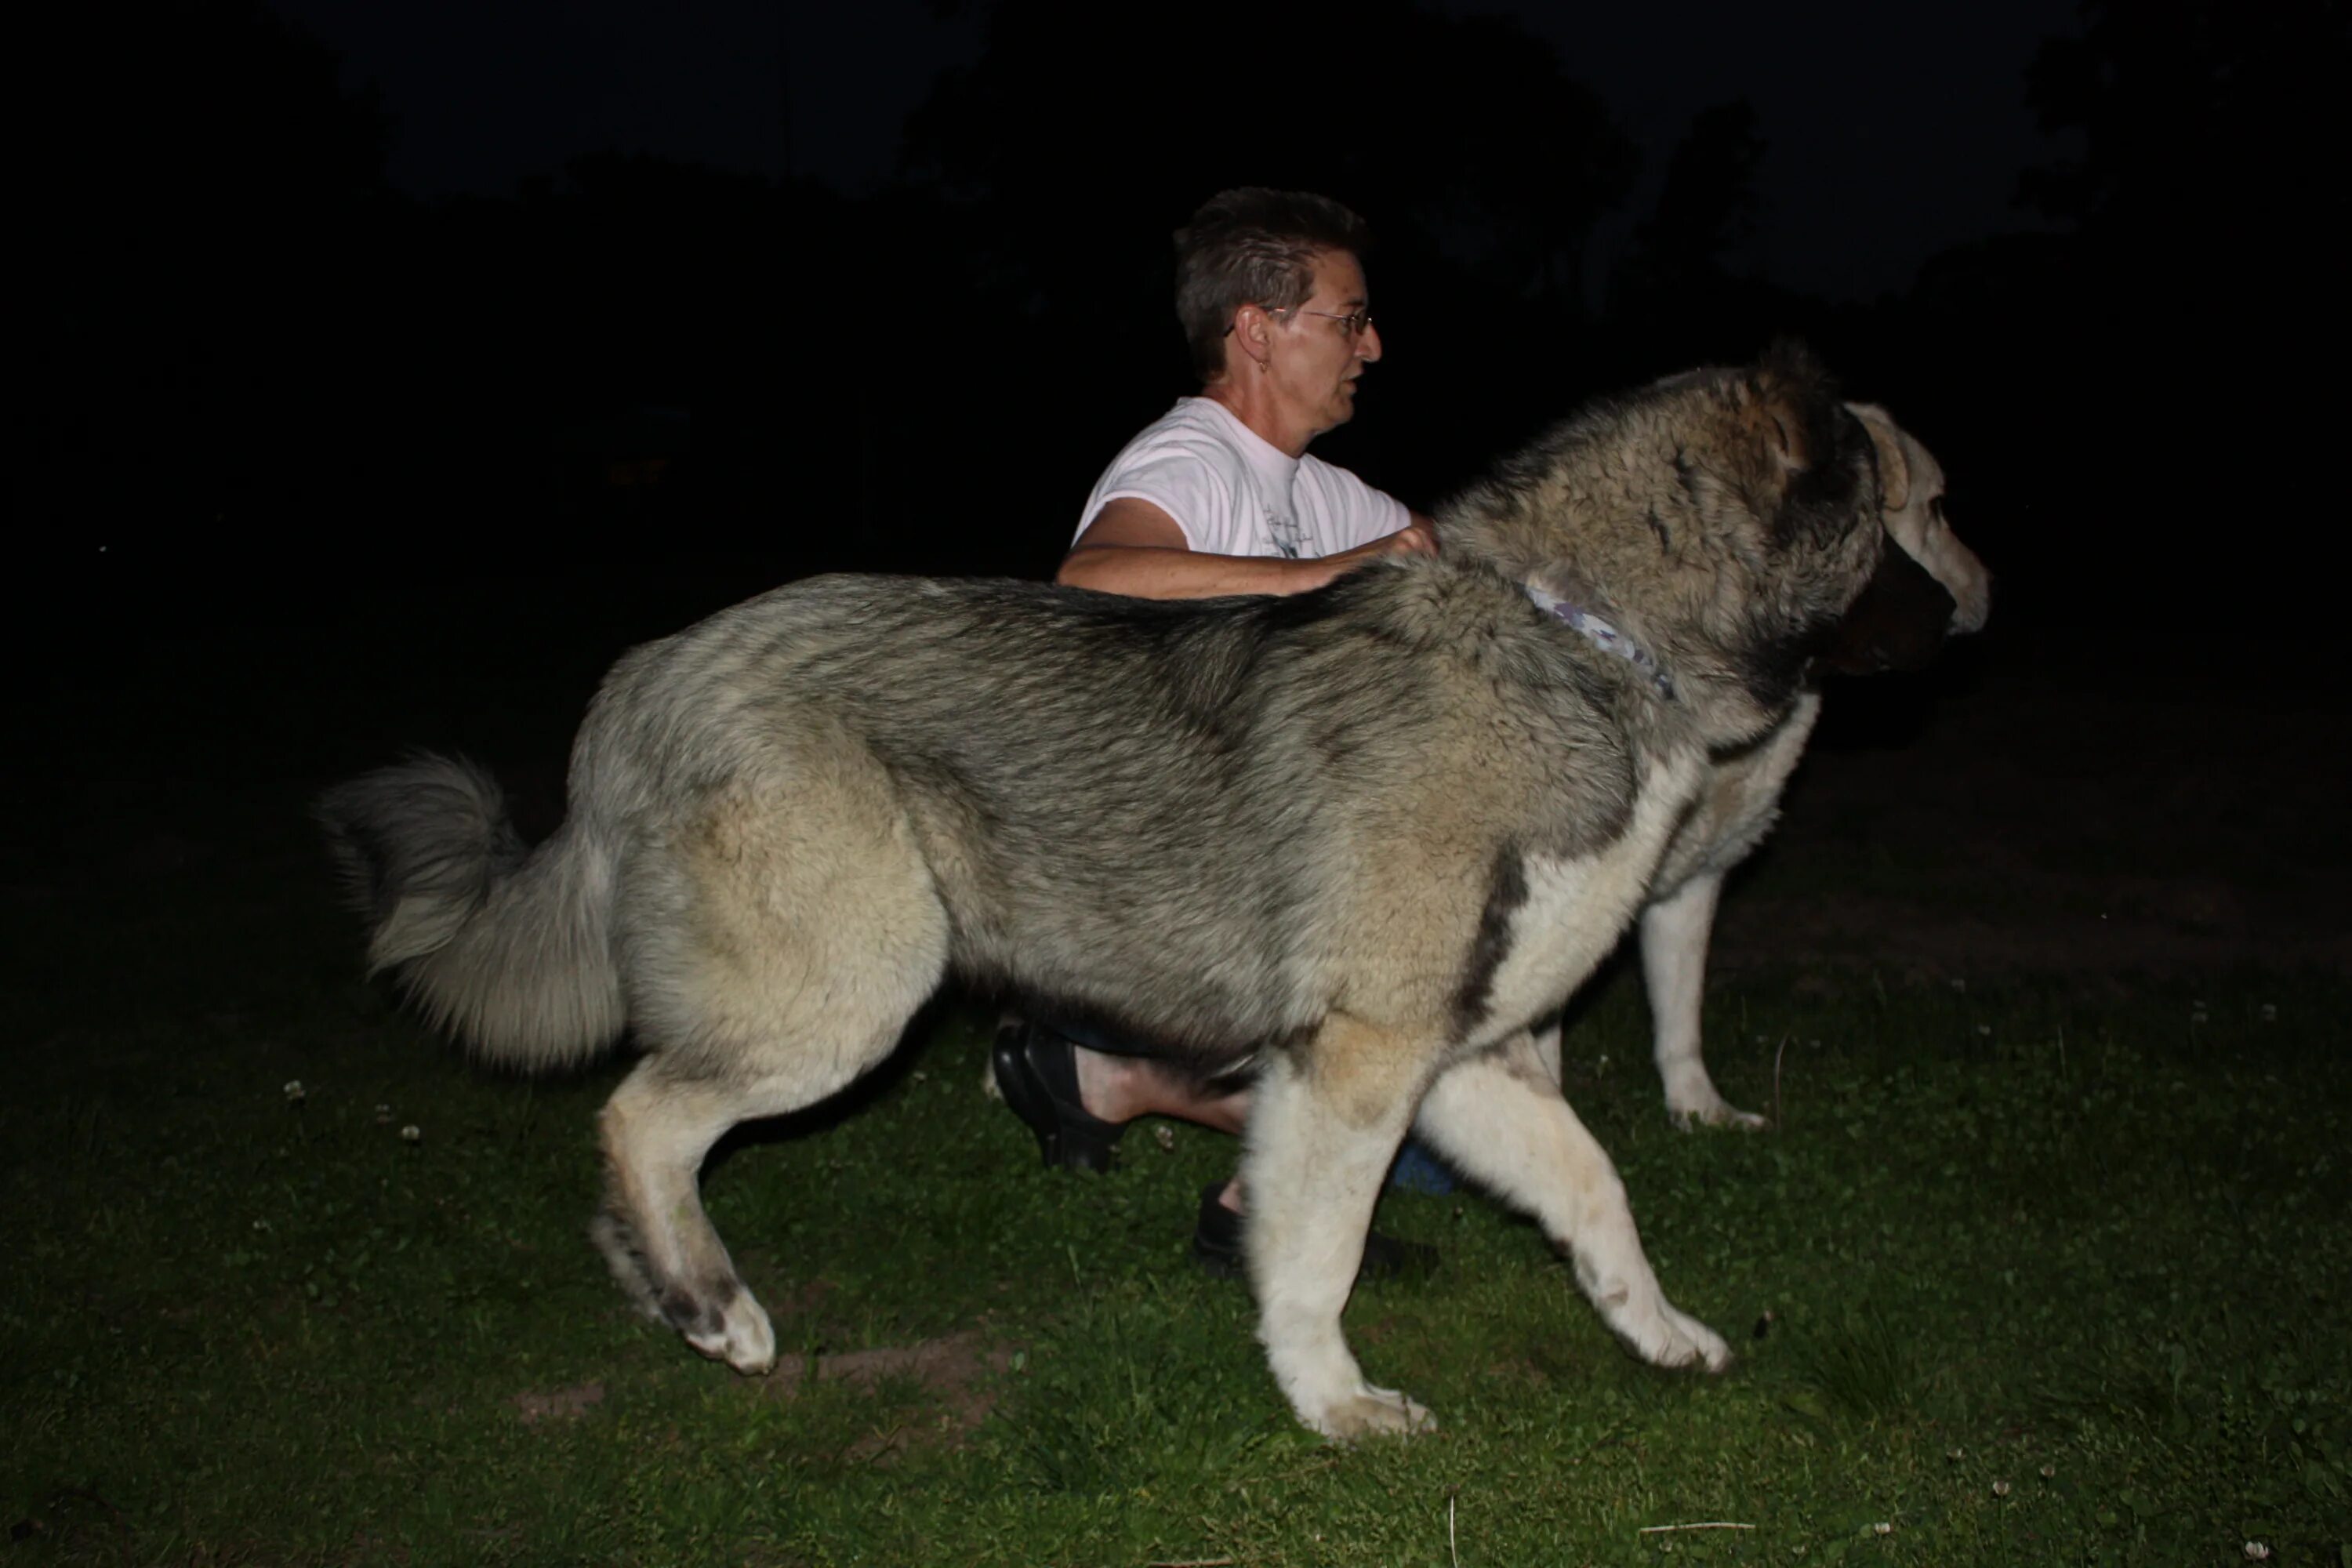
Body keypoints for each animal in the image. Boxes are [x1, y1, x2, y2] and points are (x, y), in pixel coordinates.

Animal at [322, 350, 1957, 1439]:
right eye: (1896, 511)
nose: (1966, 615)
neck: (1581, 630)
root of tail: (642, 680)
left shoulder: (1461, 1055)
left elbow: (1595, 1189)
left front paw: (1659, 1332)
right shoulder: (1359, 1063)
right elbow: (1317, 1254)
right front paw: (1333, 1404)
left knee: (636, 1145)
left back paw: (670, 1294)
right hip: (847, 998)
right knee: (640, 1115)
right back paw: (718, 1307)